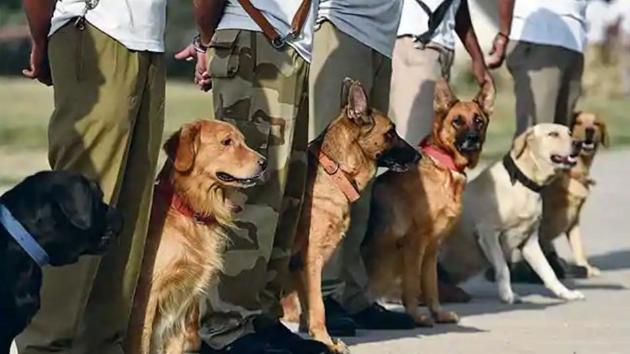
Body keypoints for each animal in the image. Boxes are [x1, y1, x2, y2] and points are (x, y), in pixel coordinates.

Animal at [126, 120, 266, 354]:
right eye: (226, 142)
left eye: (244, 141)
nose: (264, 162)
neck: (190, 210)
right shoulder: (149, 293)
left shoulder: (185, 305)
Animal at [288, 79, 422, 352]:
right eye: (390, 133)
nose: (419, 156)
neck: (335, 172)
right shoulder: (311, 261)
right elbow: (318, 307)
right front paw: (326, 341)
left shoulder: (298, 266)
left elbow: (310, 308)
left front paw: (319, 339)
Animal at [366, 79, 494, 326]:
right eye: (457, 121)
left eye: (479, 121)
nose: (473, 139)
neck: (444, 166)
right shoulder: (415, 245)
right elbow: (414, 286)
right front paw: (417, 317)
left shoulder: (432, 247)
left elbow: (431, 286)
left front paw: (438, 314)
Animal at [540, 112, 608, 278]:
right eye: (578, 122)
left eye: (596, 123)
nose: (590, 130)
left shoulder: (574, 220)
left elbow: (578, 247)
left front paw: (586, 268)